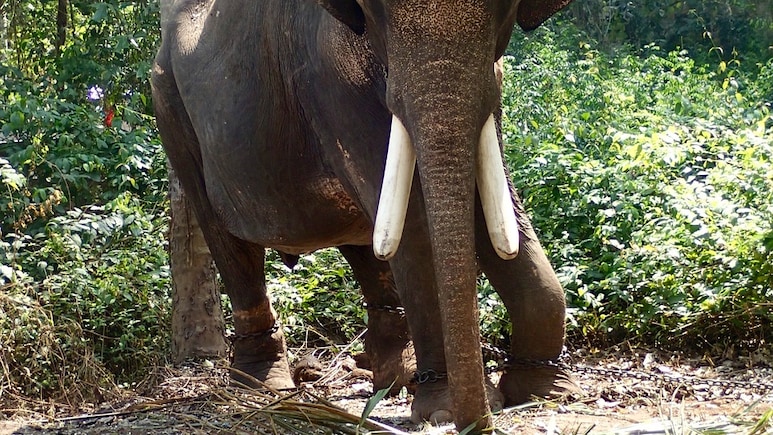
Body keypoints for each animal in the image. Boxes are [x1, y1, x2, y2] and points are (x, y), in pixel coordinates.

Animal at [151, 0, 576, 431]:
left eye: (505, 9)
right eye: (375, 11)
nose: (480, 423)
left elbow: (493, 200)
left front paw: (547, 391)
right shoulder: (326, 79)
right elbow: (418, 221)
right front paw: (444, 409)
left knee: (363, 244)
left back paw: (394, 378)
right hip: (170, 110)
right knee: (231, 245)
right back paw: (263, 386)